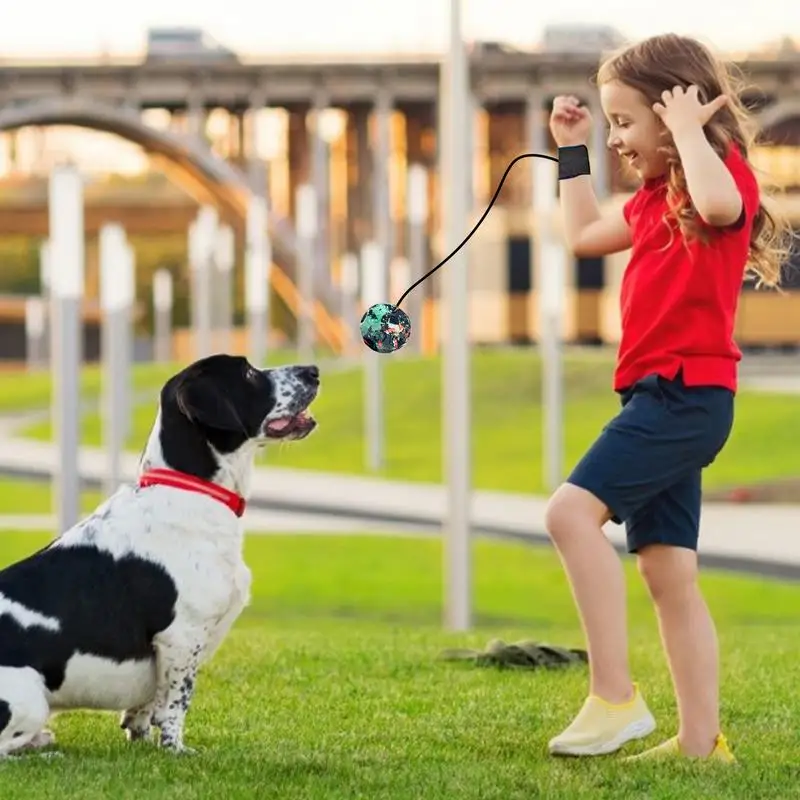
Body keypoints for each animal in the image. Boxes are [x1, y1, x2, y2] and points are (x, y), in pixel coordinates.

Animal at [0, 354, 318, 756]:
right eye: (248, 373)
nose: (314, 371)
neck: (191, 490)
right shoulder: (182, 636)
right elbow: (175, 705)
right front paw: (176, 751)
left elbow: (145, 707)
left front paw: (141, 741)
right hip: (29, 700)